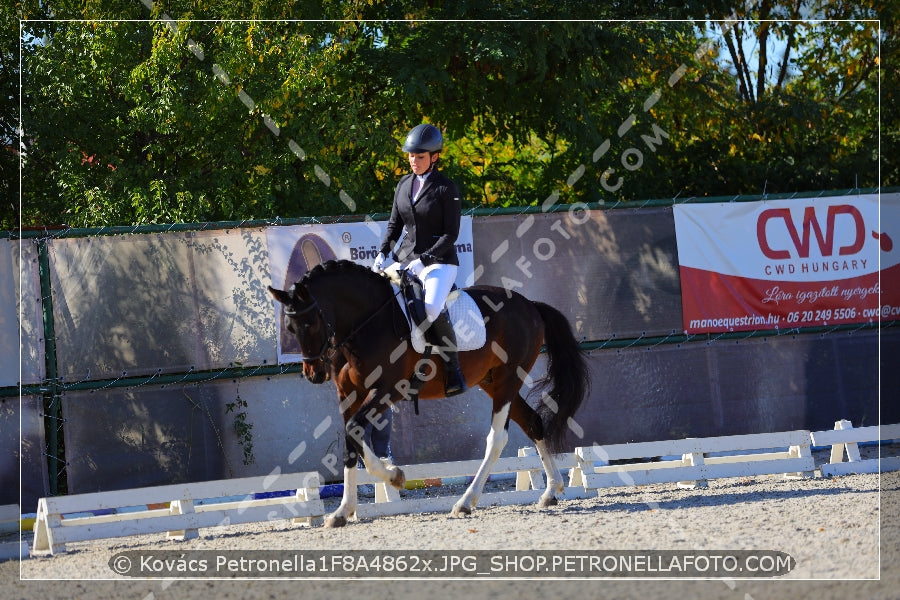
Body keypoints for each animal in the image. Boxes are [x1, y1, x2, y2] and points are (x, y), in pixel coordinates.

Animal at [268, 260, 592, 528]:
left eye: (310, 323)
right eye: (289, 327)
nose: (314, 374)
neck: (367, 322)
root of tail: (531, 306)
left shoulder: (389, 390)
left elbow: (355, 431)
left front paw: (395, 476)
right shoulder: (349, 394)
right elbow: (350, 440)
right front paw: (343, 511)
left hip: (508, 379)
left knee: (497, 439)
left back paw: (466, 502)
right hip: (493, 382)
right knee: (533, 423)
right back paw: (551, 491)